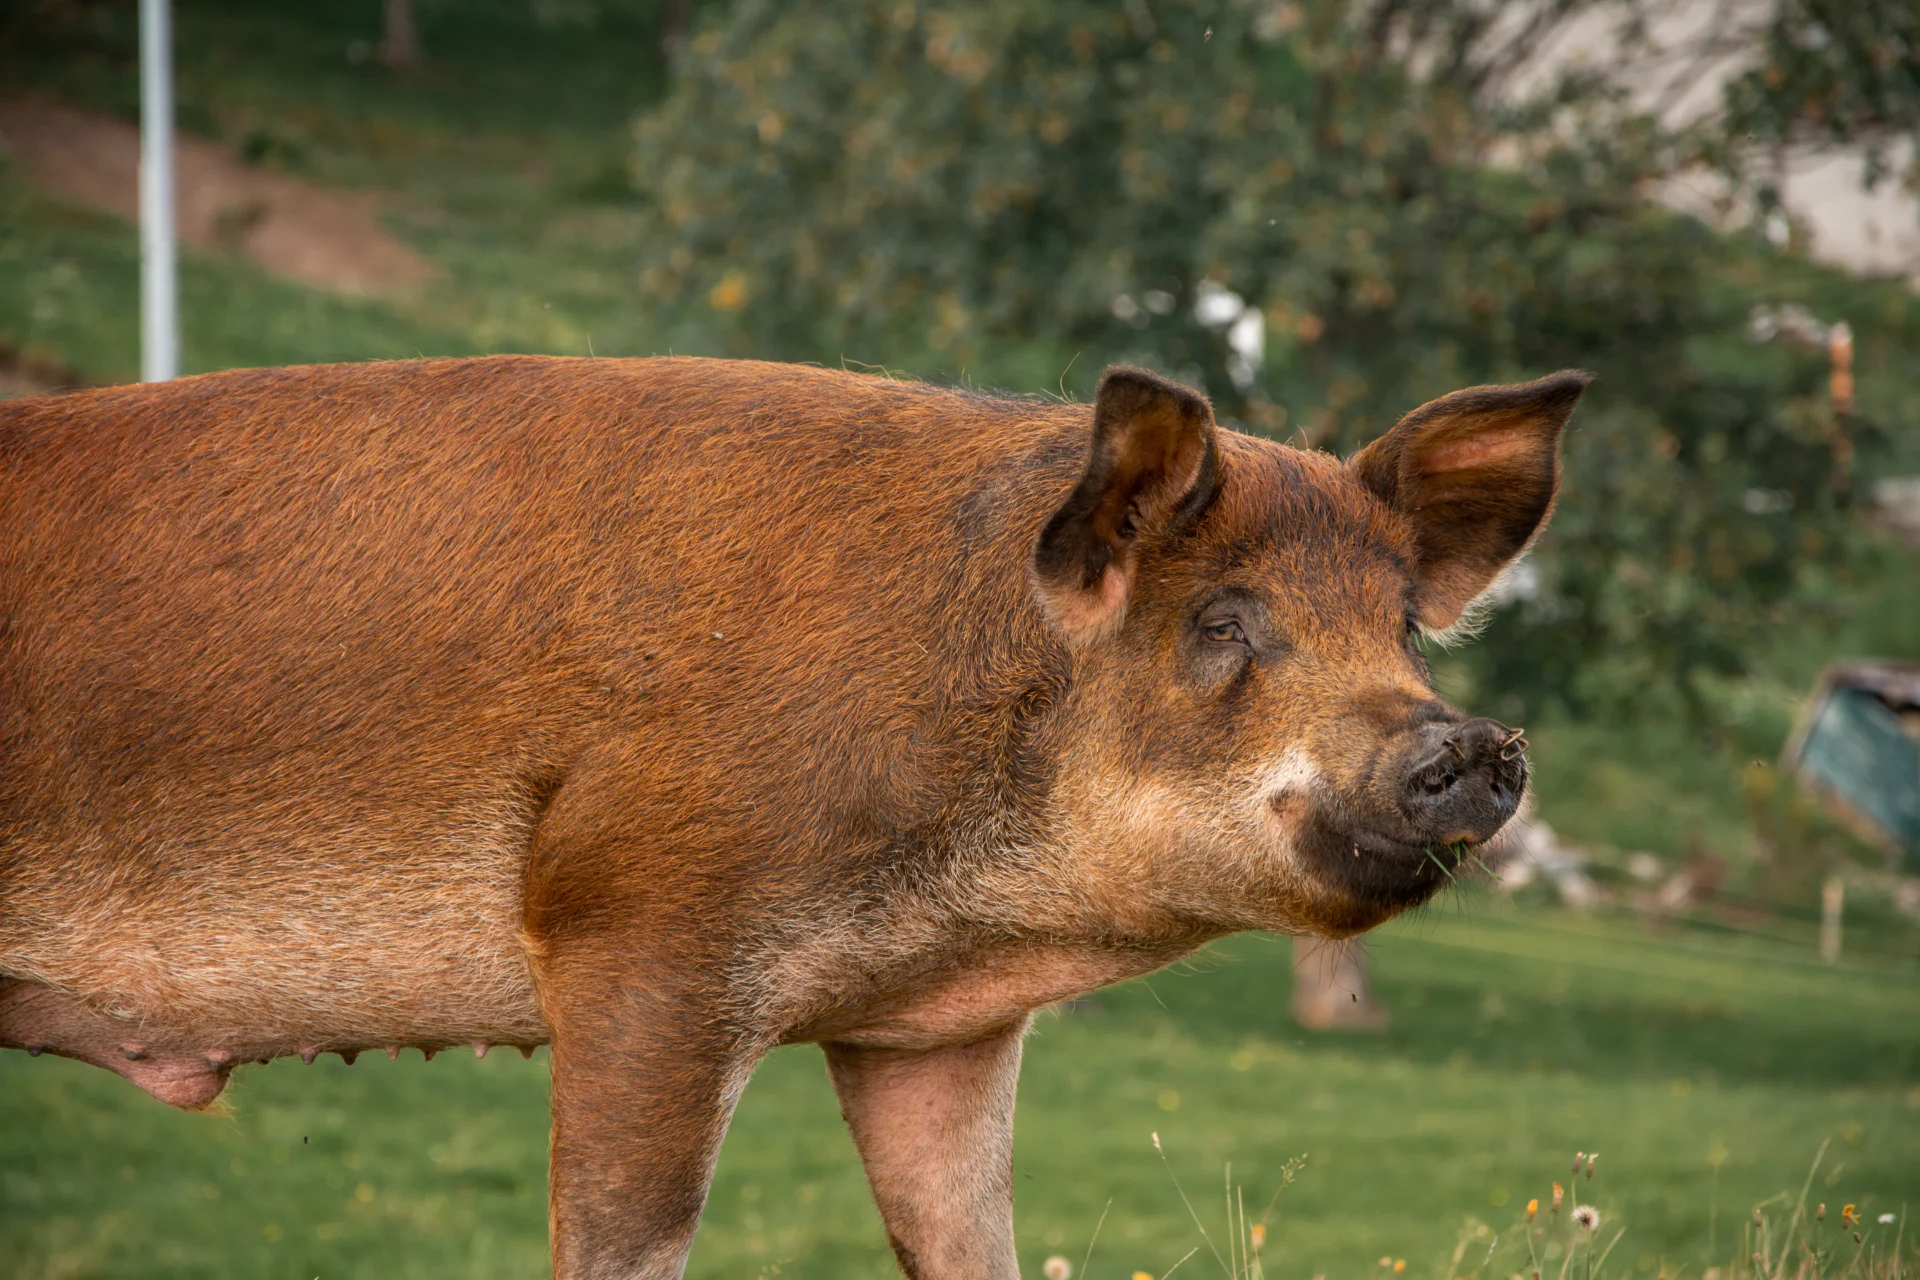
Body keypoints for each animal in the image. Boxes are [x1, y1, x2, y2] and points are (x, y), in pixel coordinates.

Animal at [0, 356, 1587, 1279]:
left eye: (1399, 624)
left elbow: (965, 1238)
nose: (1474, 741)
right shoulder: (634, 929)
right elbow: (627, 1240)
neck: (976, 913)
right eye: (1224, 623)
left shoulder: (930, 1032)